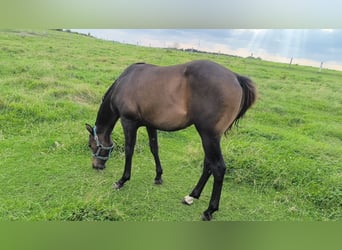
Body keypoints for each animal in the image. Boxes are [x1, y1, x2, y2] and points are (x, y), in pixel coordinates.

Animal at [86, 60, 256, 221]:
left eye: (90, 145)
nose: (96, 166)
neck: (124, 82)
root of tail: (235, 77)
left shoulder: (128, 122)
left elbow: (129, 150)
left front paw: (122, 180)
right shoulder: (150, 124)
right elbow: (154, 147)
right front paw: (158, 176)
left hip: (209, 136)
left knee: (218, 168)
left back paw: (209, 210)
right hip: (210, 138)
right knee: (208, 164)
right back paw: (192, 196)